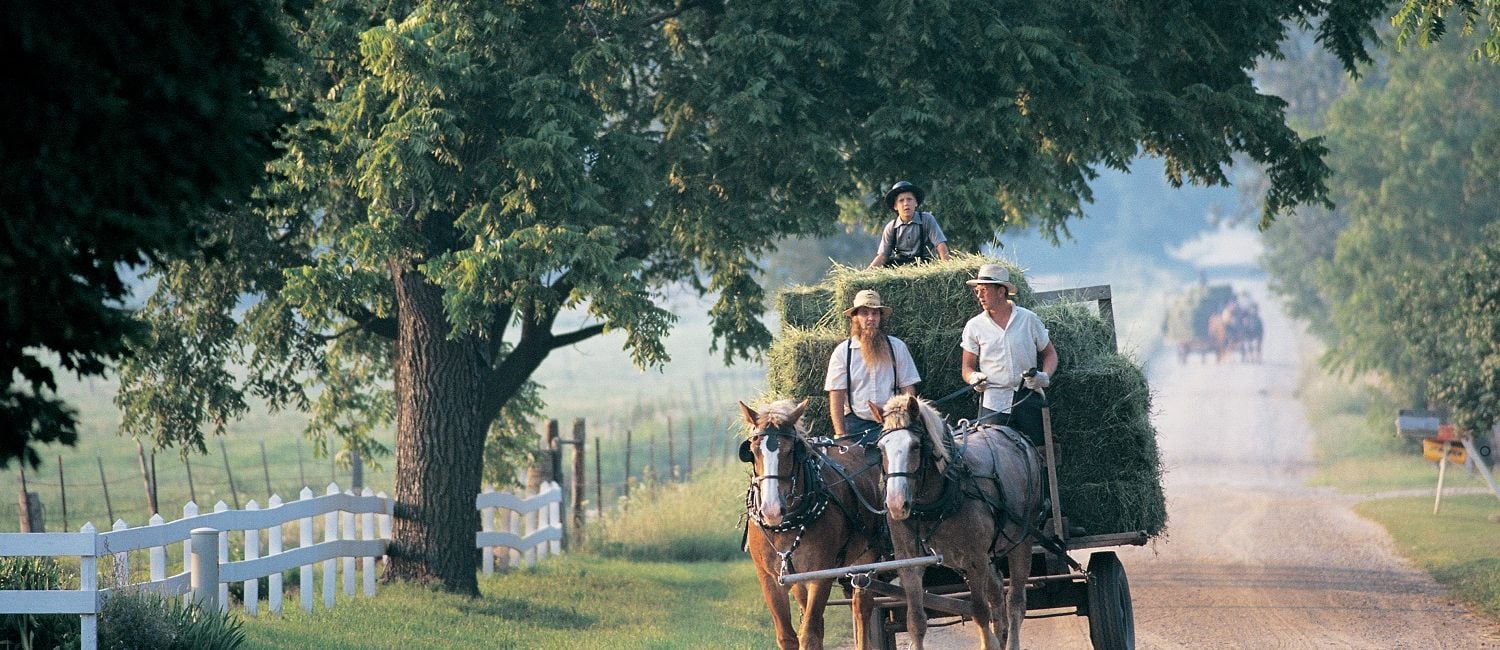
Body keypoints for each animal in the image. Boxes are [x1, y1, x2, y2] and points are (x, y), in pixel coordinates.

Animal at [741, 396, 888, 645]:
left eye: (791, 451)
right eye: (752, 450)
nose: (771, 509)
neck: (784, 527)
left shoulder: (820, 574)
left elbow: (808, 633)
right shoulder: (770, 578)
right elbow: (787, 635)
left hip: (866, 559)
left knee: (861, 608)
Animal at [870, 393, 1044, 648]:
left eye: (915, 445)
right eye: (881, 447)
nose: (896, 503)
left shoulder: (974, 558)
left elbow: (980, 613)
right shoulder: (908, 562)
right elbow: (916, 621)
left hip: (1021, 541)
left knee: (1015, 603)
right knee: (997, 594)